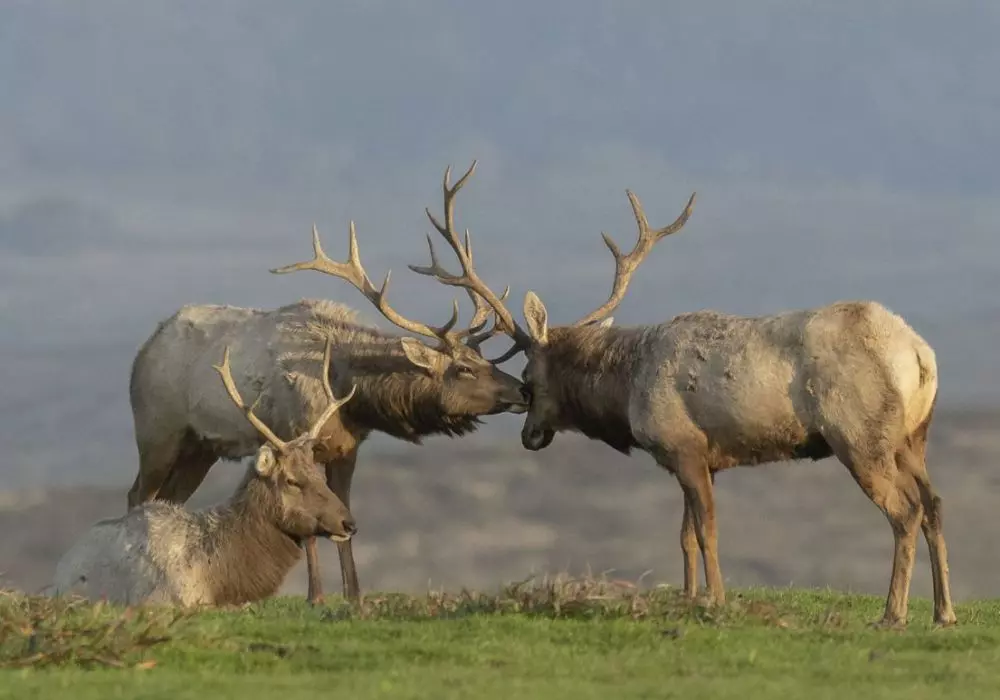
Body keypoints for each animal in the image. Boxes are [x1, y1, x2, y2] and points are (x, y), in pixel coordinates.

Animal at [410, 165, 956, 628]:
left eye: (527, 377)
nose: (529, 435)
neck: (625, 387)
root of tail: (919, 354)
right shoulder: (696, 458)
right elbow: (685, 535)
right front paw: (691, 596)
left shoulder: (684, 446)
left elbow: (707, 529)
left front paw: (715, 600)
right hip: (914, 437)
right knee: (933, 503)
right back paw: (943, 612)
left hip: (861, 436)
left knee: (904, 511)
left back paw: (893, 614)